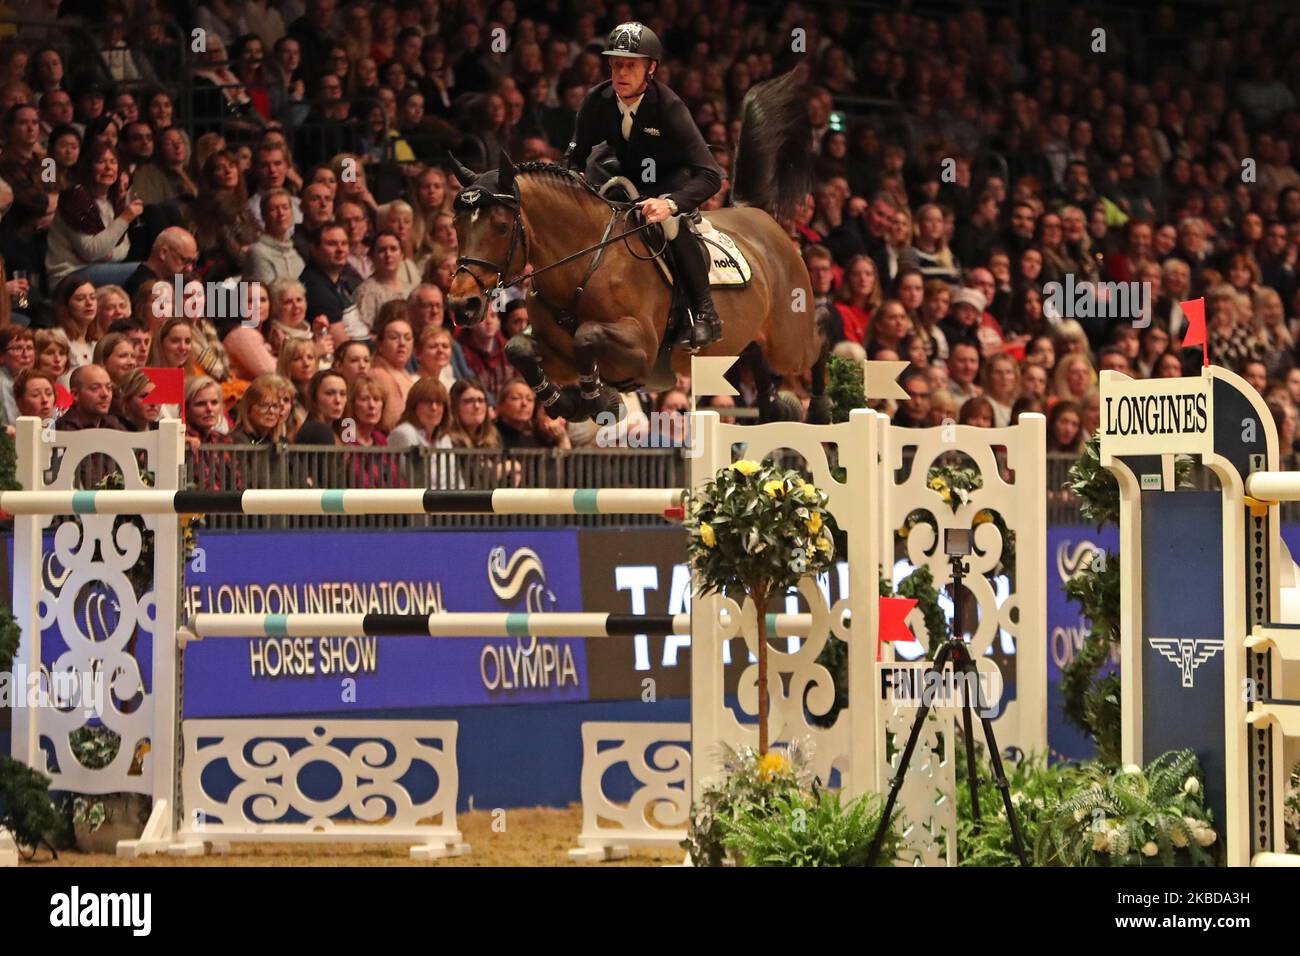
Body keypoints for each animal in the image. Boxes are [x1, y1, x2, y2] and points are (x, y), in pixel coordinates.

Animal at [452, 69, 826, 424]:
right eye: (456, 225)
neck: (584, 266)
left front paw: (597, 399)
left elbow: (586, 334)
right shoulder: (557, 355)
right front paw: (568, 403)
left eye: (502, 227)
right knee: (757, 355)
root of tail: (757, 215)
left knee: (818, 343)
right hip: (742, 341)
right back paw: (775, 408)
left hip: (789, 341)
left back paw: (821, 408)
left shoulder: (642, 348)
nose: (461, 304)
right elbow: (518, 347)